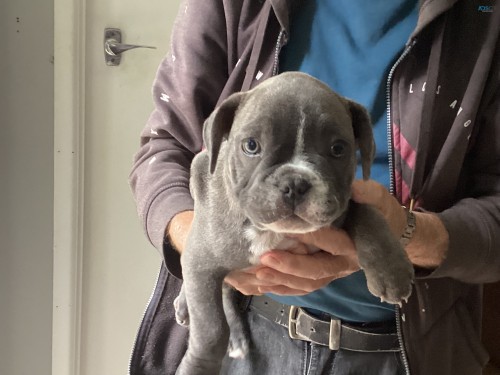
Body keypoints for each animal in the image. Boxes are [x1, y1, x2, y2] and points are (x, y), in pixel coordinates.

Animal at [175, 71, 414, 375]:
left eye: (338, 149)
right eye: (251, 145)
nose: (295, 183)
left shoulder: (343, 204)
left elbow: (366, 213)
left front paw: (390, 271)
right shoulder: (201, 262)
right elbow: (211, 328)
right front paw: (198, 367)